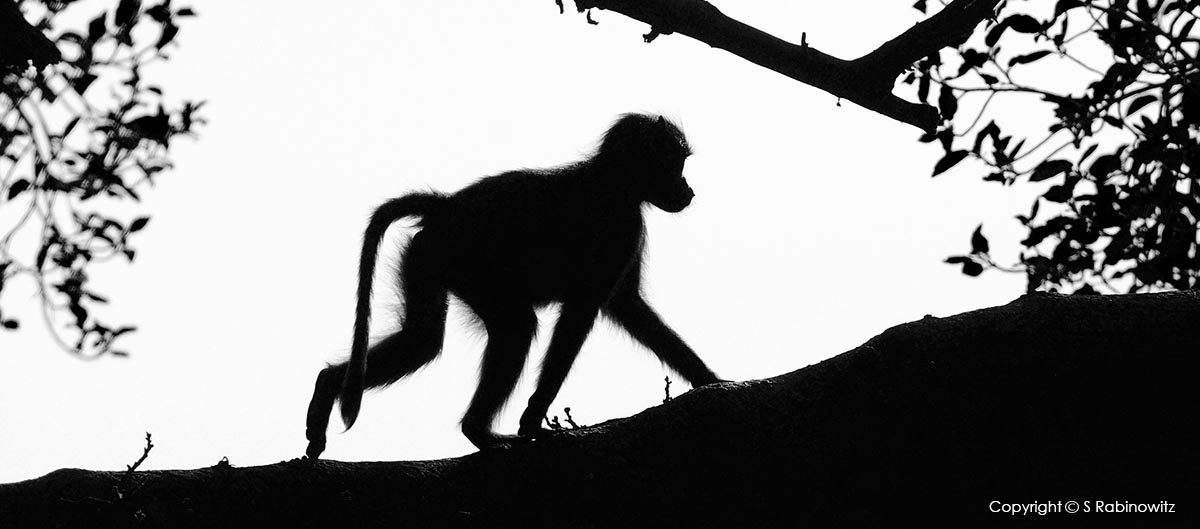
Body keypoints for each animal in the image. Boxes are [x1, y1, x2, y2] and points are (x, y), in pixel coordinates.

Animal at [304, 113, 721, 459]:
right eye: (677, 163)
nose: (688, 189)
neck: (613, 179)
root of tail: (447, 206)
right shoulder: (622, 225)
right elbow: (581, 313)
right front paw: (532, 419)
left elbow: (627, 306)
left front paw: (710, 381)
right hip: (470, 265)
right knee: (516, 328)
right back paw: (478, 431)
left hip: (427, 258)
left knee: (422, 341)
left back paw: (328, 385)